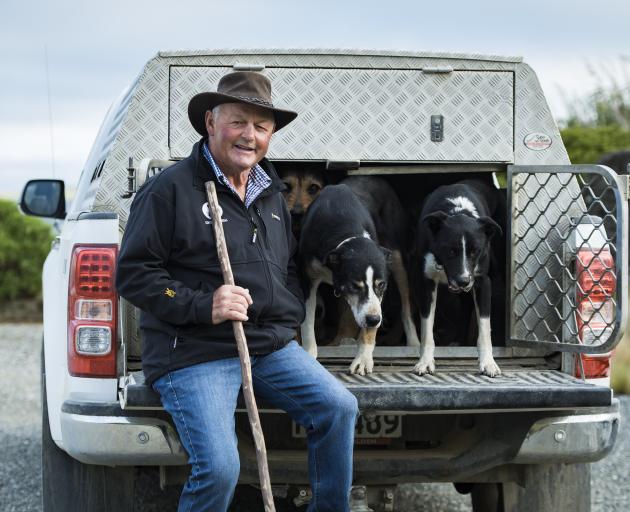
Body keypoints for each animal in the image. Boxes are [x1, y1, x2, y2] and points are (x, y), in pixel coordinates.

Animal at [300, 178, 420, 374]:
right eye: (354, 286)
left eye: (381, 285)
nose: (374, 320)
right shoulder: (307, 278)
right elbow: (307, 323)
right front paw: (309, 355)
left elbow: (369, 328)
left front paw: (363, 359)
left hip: (396, 257)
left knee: (406, 306)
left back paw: (413, 342)